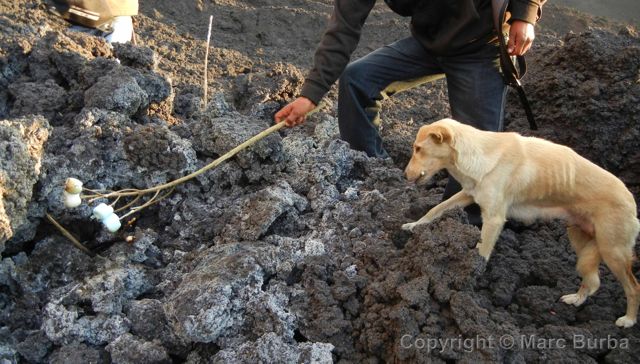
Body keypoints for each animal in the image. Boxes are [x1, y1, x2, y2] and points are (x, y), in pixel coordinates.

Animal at [402, 118, 636, 328]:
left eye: (418, 149)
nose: (404, 176)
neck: (481, 153)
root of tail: (631, 199)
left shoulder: (494, 219)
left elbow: (481, 252)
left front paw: (471, 275)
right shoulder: (468, 193)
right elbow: (436, 209)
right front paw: (415, 225)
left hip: (613, 250)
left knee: (634, 287)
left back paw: (629, 319)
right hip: (580, 237)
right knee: (591, 279)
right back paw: (577, 299)